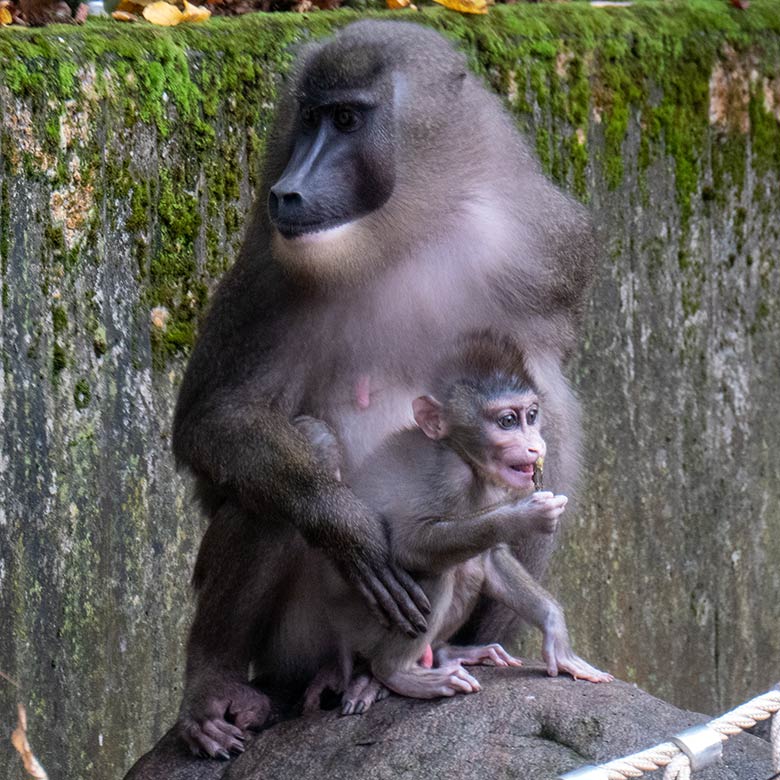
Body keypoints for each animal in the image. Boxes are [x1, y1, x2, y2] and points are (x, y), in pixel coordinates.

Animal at [298, 332, 608, 708]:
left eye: (532, 415)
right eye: (507, 421)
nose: (536, 446)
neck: (467, 460)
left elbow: (492, 557)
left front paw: (556, 632)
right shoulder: (450, 474)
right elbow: (408, 545)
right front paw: (527, 516)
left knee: (470, 563)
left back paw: (448, 653)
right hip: (359, 620)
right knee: (434, 572)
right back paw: (397, 673)